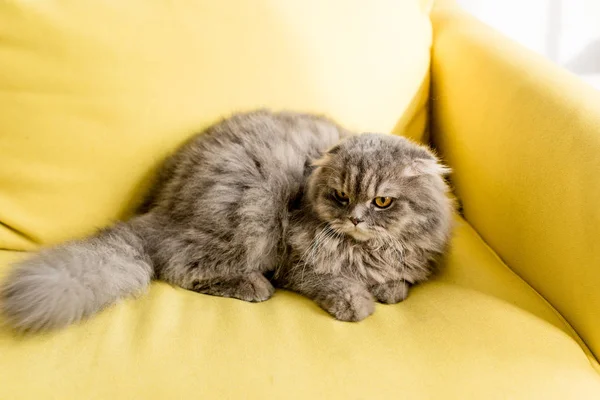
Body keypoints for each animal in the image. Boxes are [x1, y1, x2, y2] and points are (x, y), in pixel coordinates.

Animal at [0, 110, 450, 332]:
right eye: (341, 196)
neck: (363, 249)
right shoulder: (297, 264)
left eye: (382, 201)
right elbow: (335, 281)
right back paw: (254, 286)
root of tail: (158, 211)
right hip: (252, 215)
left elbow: (398, 285)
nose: (355, 219)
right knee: (179, 266)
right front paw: (356, 303)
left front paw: (386, 288)